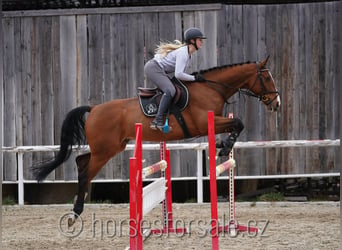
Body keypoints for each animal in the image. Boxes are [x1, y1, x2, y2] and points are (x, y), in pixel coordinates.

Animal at [31, 56, 280, 225]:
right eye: (267, 77)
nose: (276, 103)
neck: (211, 88)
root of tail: (93, 109)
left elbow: (236, 124)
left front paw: (222, 145)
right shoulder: (204, 123)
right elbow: (238, 122)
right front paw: (224, 147)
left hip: (111, 147)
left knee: (81, 161)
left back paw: (76, 206)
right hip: (105, 151)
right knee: (85, 173)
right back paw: (75, 213)